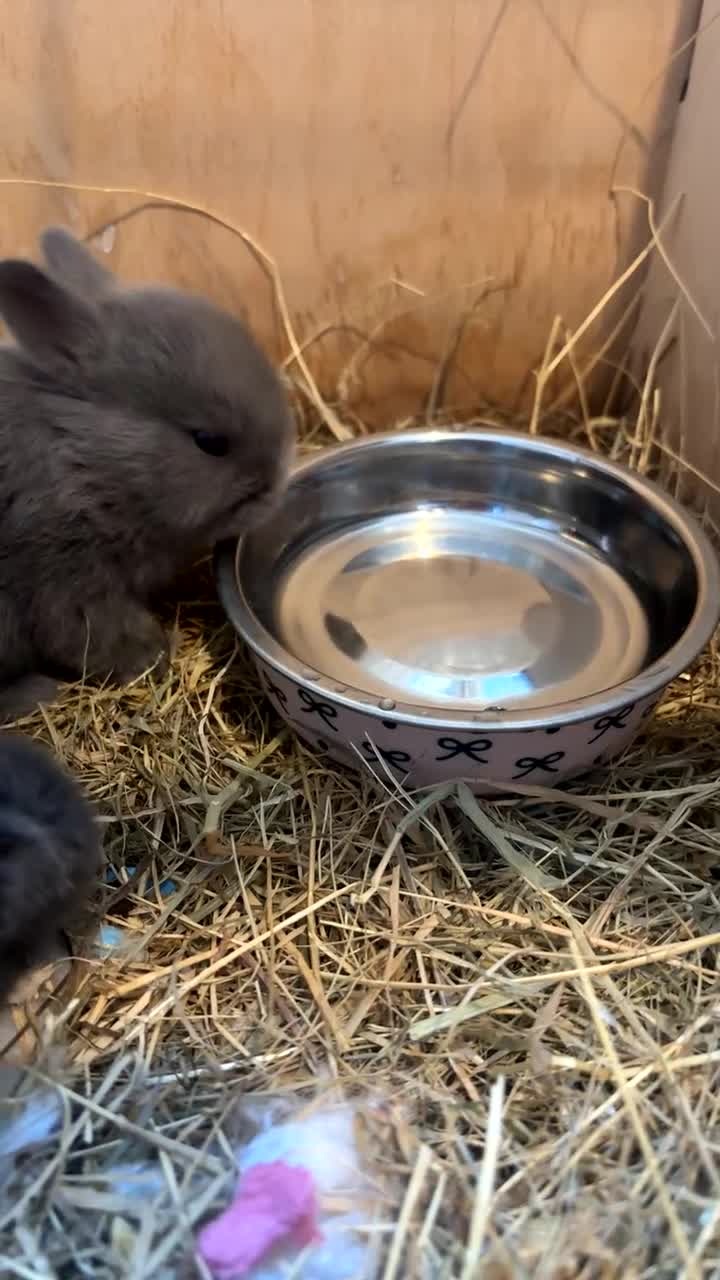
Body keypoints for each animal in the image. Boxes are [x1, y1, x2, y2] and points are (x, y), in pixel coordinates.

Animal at [0, 226, 295, 720]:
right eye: (209, 441)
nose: (274, 491)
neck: (85, 457)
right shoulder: (68, 583)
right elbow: (101, 636)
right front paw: (154, 658)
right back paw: (35, 694)